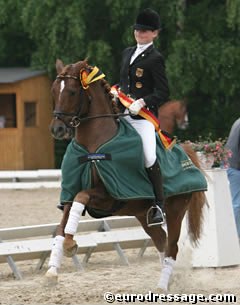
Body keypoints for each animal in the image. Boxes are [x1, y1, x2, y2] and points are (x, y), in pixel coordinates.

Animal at [47, 59, 206, 290]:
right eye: (53, 91)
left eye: (72, 92)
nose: (57, 129)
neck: (93, 146)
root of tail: (185, 153)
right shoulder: (71, 191)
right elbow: (62, 226)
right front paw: (52, 270)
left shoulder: (107, 196)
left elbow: (81, 197)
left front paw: (69, 244)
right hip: (142, 214)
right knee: (161, 241)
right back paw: (168, 281)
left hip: (175, 210)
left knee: (171, 247)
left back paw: (162, 286)